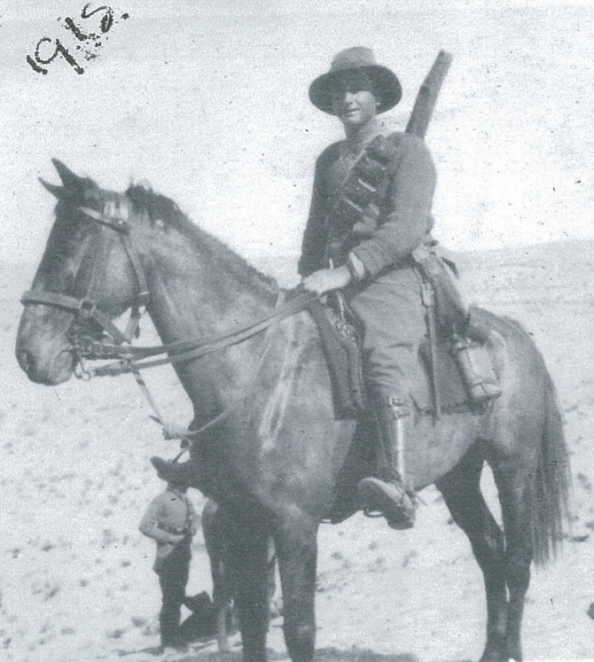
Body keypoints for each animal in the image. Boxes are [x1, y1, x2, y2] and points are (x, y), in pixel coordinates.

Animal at [16, 160, 571, 662]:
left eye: (75, 249)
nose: (29, 354)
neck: (257, 369)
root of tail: (516, 335)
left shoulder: (295, 523)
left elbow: (299, 628)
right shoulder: (242, 520)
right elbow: (254, 623)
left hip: (513, 467)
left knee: (516, 561)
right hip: (458, 474)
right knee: (491, 552)